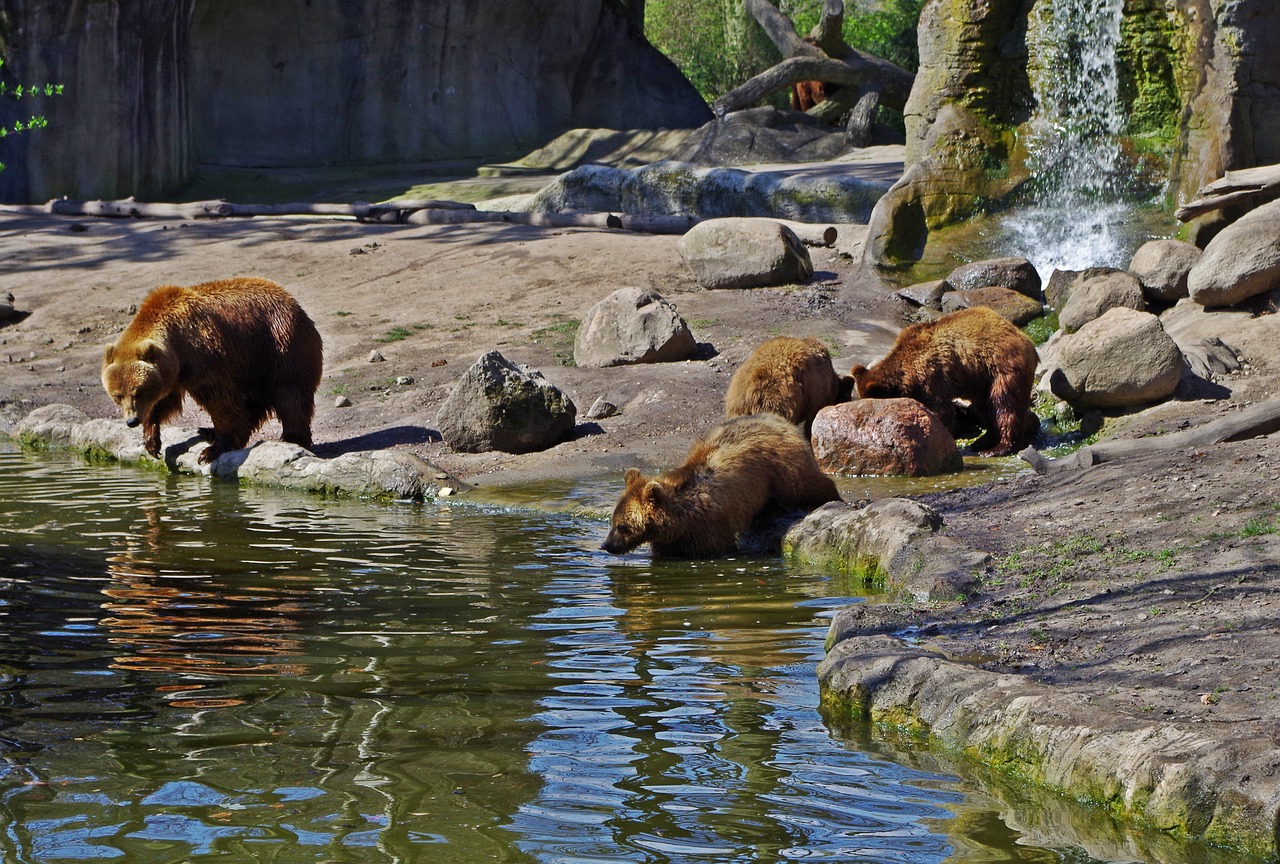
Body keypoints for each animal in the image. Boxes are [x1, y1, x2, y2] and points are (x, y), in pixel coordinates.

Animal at [104, 277, 325, 465]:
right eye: (117, 395)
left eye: (139, 392)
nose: (132, 421)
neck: (178, 345)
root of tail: (295, 305)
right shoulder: (174, 373)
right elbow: (167, 399)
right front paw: (151, 440)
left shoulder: (207, 358)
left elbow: (221, 401)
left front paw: (210, 451)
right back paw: (209, 431)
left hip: (280, 346)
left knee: (290, 395)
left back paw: (292, 439)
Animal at [599, 414, 839, 560]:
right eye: (613, 521)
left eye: (622, 526)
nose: (606, 545)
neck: (678, 519)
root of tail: (775, 419)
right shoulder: (671, 537)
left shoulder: (708, 527)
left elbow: (717, 547)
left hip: (783, 466)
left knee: (808, 484)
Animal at [849, 305, 1039, 460]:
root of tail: (1026, 339)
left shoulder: (932, 376)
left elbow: (942, 410)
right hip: (981, 381)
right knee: (984, 407)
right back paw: (982, 441)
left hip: (1002, 366)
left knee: (1005, 404)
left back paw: (997, 448)